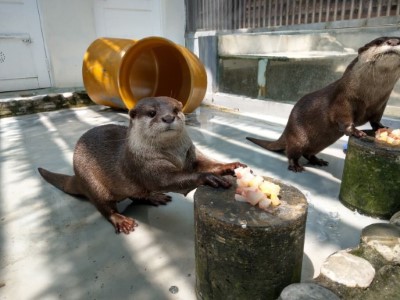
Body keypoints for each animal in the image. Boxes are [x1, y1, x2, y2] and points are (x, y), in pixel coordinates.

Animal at [38, 97, 244, 233]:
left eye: (176, 110)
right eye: (152, 113)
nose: (168, 117)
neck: (174, 154)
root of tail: (77, 177)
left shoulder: (190, 153)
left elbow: (206, 163)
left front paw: (229, 166)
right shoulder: (146, 165)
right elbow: (171, 180)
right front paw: (208, 178)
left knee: (136, 195)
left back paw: (154, 198)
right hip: (92, 182)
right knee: (104, 207)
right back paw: (122, 220)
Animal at [247, 36, 400, 172]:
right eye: (379, 41)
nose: (393, 41)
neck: (368, 96)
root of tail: (287, 130)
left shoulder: (381, 104)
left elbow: (375, 120)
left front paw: (383, 128)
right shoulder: (342, 100)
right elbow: (344, 119)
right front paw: (356, 131)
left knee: (308, 153)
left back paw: (318, 161)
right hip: (298, 137)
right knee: (292, 152)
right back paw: (295, 166)